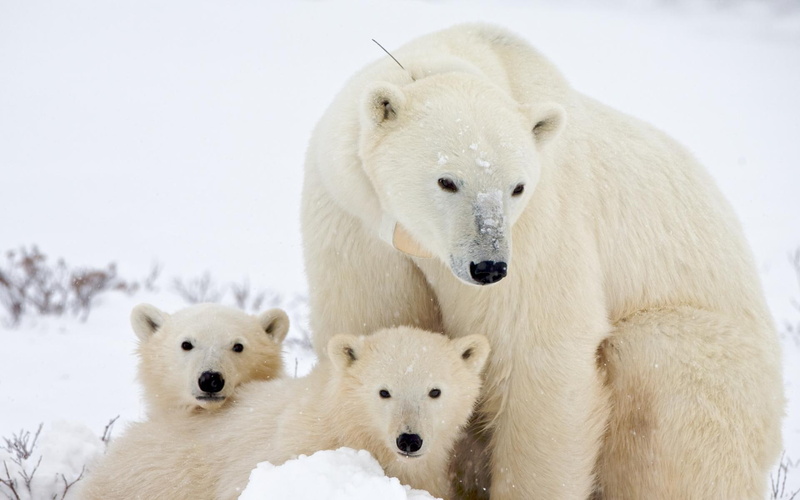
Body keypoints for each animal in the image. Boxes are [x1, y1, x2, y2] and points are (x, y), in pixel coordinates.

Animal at [300, 23, 784, 499]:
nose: (489, 267)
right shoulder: (355, 221)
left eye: (517, 187)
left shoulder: (540, 224)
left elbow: (536, 352)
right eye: (446, 180)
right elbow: (376, 321)